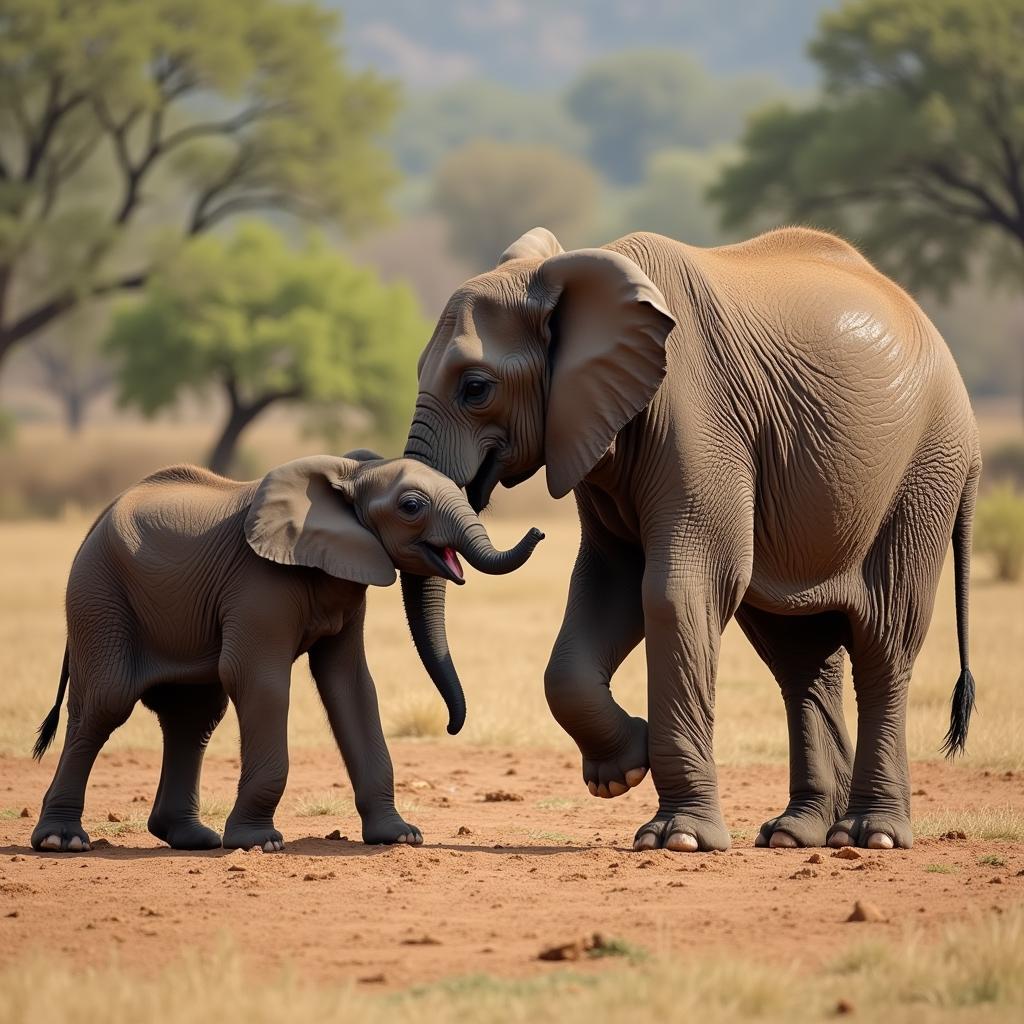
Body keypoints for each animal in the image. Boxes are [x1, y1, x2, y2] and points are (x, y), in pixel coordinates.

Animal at [29, 452, 544, 851]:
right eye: (411, 506)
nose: (539, 532)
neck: (353, 471)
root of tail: (96, 522)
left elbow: (351, 685)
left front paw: (401, 836)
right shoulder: (258, 582)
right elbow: (259, 680)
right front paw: (260, 843)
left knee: (194, 716)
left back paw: (192, 839)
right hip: (99, 598)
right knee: (104, 706)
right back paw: (62, 841)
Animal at [397, 228, 974, 851]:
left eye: (476, 389)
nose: (452, 724)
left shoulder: (697, 417)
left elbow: (675, 591)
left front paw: (677, 839)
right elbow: (610, 584)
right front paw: (622, 770)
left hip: (924, 473)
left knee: (885, 638)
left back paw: (871, 835)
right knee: (797, 656)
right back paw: (796, 834)